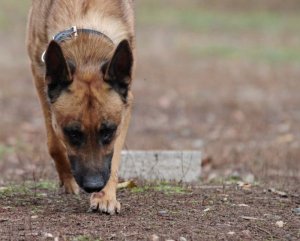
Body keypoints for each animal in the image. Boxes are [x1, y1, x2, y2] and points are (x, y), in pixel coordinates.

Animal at [27, 0, 135, 215]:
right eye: (73, 133)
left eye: (108, 132)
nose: (94, 186)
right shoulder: (40, 80)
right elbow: (54, 144)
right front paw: (69, 180)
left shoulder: (126, 104)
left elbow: (114, 158)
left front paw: (106, 196)